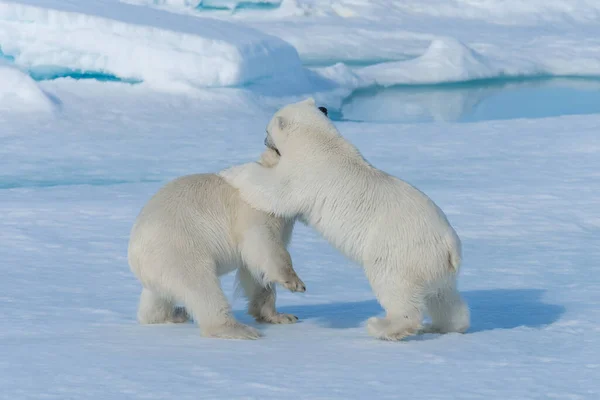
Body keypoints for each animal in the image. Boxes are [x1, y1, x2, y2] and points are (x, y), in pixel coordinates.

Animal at [126, 148, 304, 340]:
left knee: (156, 297)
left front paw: (281, 316)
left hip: (157, 269)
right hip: (177, 250)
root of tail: (134, 252)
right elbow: (263, 246)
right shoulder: (255, 212)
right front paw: (295, 282)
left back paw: (174, 314)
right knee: (202, 287)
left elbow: (254, 271)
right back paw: (238, 329)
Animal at [218, 97, 472, 340]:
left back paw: (382, 327)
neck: (321, 143)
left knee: (395, 288)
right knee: (444, 298)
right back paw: (443, 326)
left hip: (400, 252)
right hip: (435, 265)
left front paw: (230, 171)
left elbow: (274, 191)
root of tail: (450, 245)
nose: (264, 140)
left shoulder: (305, 175)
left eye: (267, 130)